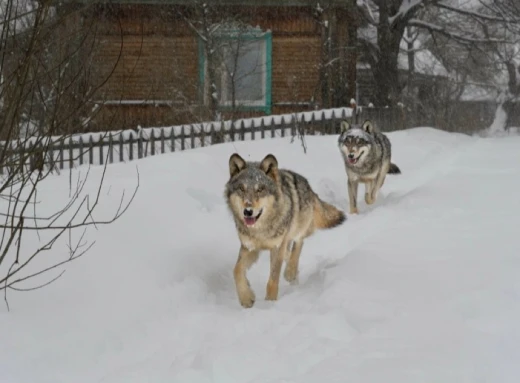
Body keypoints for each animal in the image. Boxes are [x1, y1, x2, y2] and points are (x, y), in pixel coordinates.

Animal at [223, 153, 346, 308]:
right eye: (241, 189)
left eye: (260, 189)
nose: (248, 211)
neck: (261, 230)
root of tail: (309, 186)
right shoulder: (250, 247)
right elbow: (237, 270)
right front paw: (246, 298)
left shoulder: (276, 247)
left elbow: (273, 279)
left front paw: (270, 303)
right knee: (289, 253)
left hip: (297, 229)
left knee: (298, 244)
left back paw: (290, 272)